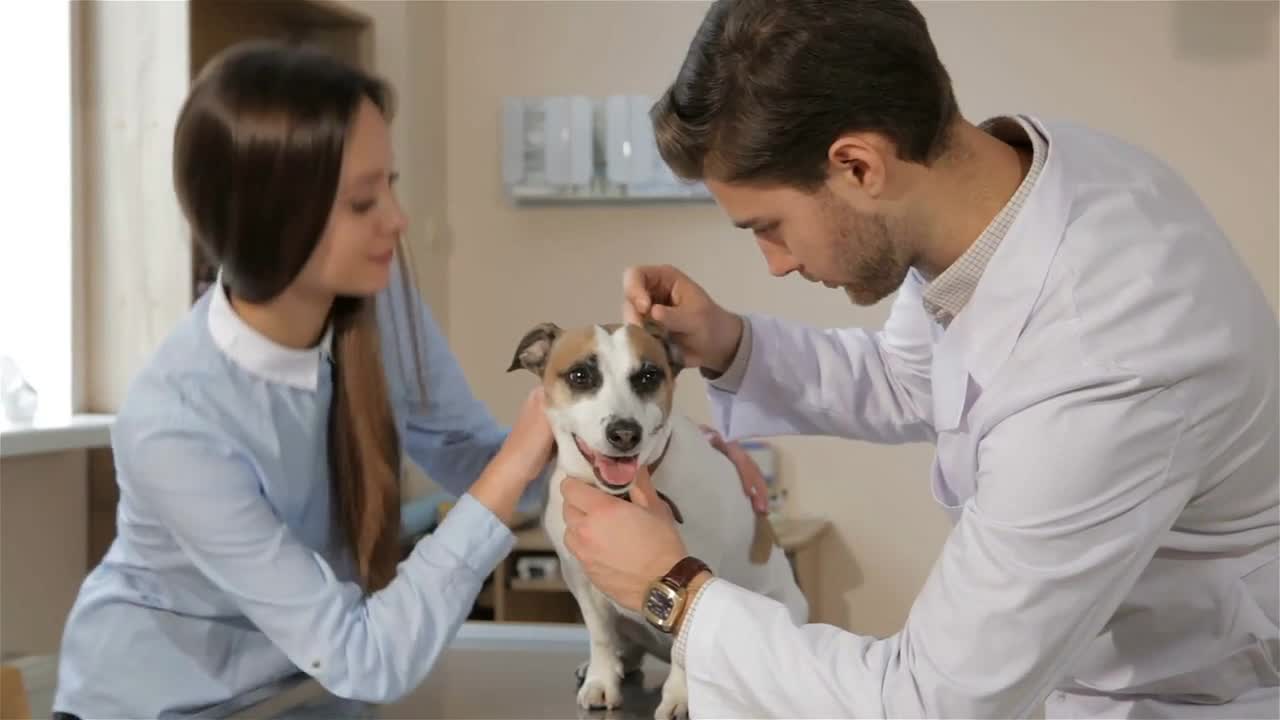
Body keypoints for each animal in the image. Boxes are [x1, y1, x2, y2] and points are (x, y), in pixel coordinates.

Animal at [509, 319, 808, 717]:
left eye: (648, 375)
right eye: (580, 375)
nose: (624, 433)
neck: (621, 496)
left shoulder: (691, 572)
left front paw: (681, 697)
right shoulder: (579, 577)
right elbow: (600, 636)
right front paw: (601, 680)